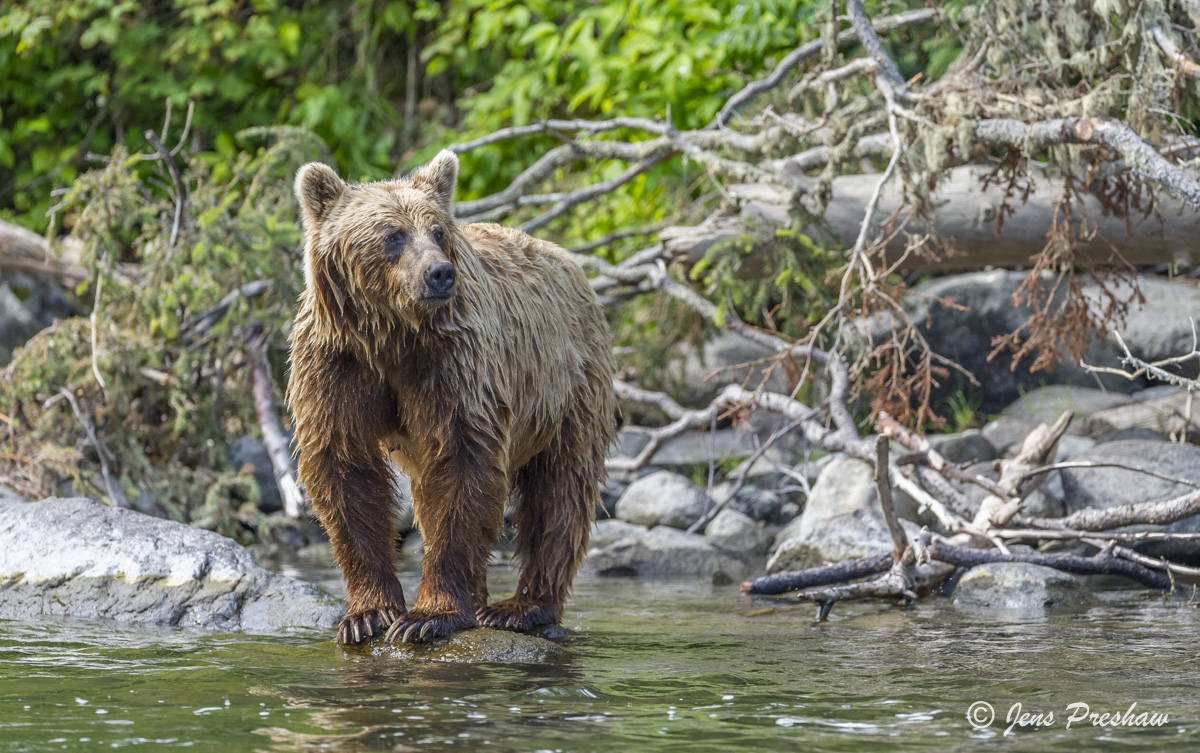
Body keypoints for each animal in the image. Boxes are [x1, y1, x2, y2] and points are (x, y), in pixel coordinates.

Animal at [284, 149, 614, 642]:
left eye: (437, 230)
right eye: (393, 235)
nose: (439, 273)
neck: (390, 335)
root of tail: (572, 263)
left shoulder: (454, 364)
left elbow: (463, 466)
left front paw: (427, 616)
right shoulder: (337, 363)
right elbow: (345, 469)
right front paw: (368, 614)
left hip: (565, 389)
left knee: (559, 492)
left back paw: (521, 606)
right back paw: (481, 600)